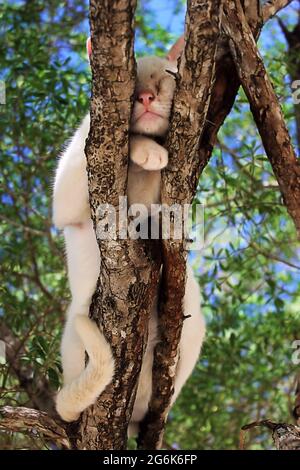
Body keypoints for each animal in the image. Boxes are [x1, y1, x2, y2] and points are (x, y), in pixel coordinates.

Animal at [52, 36, 205, 434]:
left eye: (165, 75)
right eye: (132, 84)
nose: (147, 97)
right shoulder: (67, 200)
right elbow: (123, 142)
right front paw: (147, 151)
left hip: (193, 309)